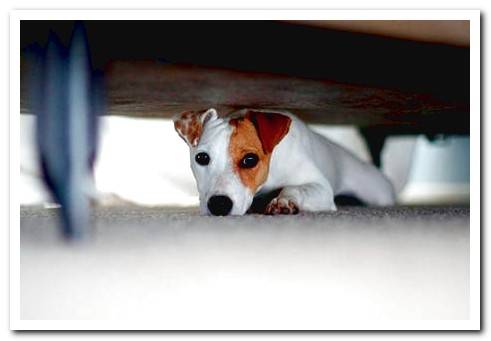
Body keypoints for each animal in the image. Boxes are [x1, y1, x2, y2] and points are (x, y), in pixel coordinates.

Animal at [174, 107, 396, 215]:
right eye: (202, 158)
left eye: (250, 159)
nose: (218, 205)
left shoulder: (321, 187)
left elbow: (296, 188)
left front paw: (284, 200)